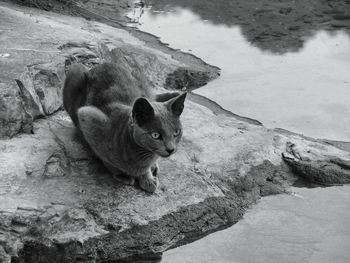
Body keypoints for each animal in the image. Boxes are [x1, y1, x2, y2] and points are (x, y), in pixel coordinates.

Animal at [62, 63, 186, 193]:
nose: (171, 149)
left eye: (176, 132)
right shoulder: (87, 116)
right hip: (75, 72)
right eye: (155, 135)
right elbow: (107, 160)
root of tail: (102, 65)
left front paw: (147, 178)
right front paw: (124, 175)